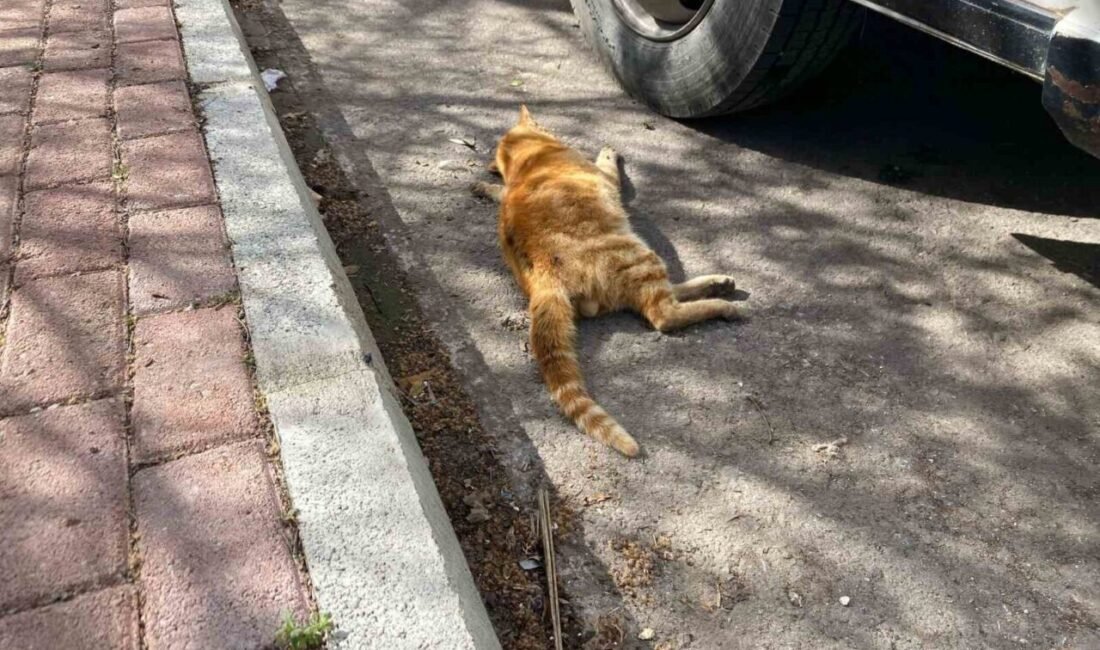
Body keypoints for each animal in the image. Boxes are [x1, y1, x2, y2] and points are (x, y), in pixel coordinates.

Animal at [475, 105, 748, 457]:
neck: (532, 158)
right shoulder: (604, 177)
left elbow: (498, 192)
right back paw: (722, 304)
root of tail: (543, 279)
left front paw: (486, 188)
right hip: (640, 255)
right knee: (663, 314)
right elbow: (607, 167)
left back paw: (717, 283)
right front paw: (607, 154)